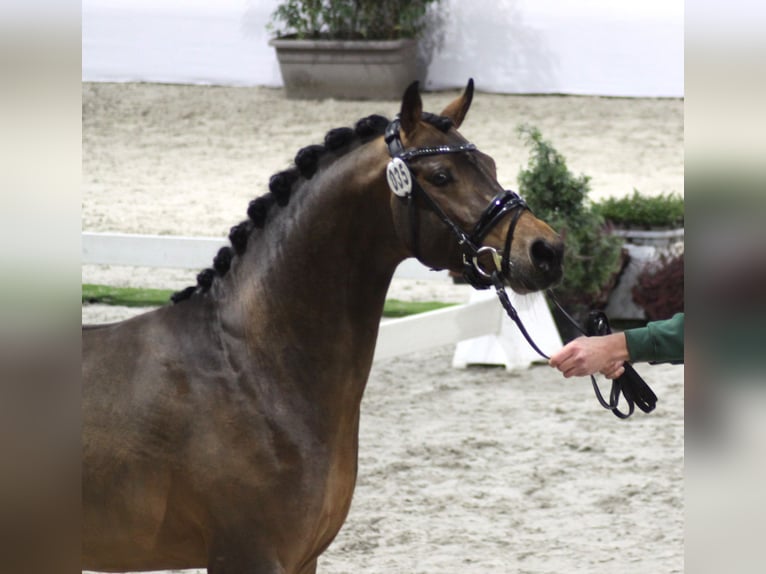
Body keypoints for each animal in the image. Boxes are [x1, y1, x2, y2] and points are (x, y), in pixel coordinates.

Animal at [82, 81, 564, 574]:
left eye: (490, 165)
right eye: (442, 176)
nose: (546, 250)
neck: (251, 370)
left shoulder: (303, 558)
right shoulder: (246, 555)